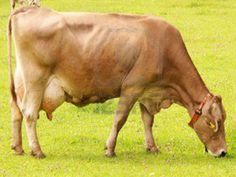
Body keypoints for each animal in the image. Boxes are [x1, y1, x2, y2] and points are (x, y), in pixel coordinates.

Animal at [7, 7, 227, 159]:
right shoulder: (132, 87)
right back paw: (37, 150)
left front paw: (152, 147)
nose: (223, 152)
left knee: (16, 110)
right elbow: (119, 119)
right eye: (211, 123)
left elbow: (148, 120)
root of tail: (29, 9)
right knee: (29, 114)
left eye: (223, 119)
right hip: (36, 79)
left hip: (21, 81)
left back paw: (18, 147)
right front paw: (110, 149)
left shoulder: (147, 91)